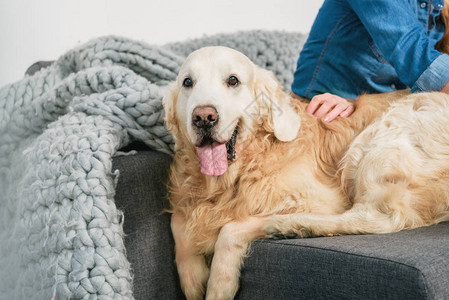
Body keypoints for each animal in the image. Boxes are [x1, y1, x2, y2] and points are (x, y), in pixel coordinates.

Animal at [163, 45, 448, 298]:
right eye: (187, 82)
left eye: (233, 80)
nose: (203, 117)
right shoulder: (187, 198)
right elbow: (178, 222)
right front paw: (192, 278)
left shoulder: (323, 200)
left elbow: (231, 228)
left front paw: (218, 285)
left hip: (381, 137)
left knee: (380, 218)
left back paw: (290, 225)